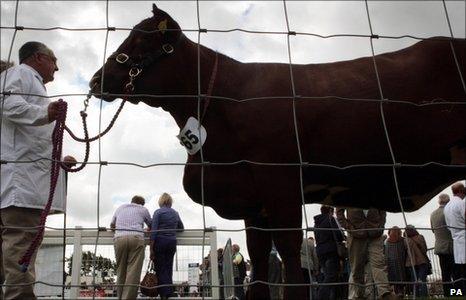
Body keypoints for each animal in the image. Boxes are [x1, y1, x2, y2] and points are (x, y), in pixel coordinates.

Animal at [89, 4, 464, 300]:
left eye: (143, 39)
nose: (96, 80)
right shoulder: (254, 203)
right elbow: (258, 263)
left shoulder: (281, 188)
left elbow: (288, 256)